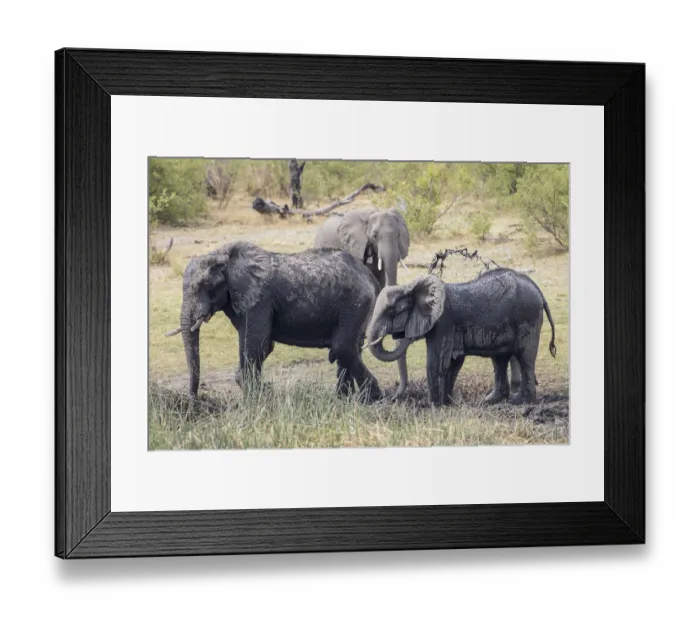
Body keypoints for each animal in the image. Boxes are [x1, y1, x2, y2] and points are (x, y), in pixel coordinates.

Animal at [165, 241, 383, 402]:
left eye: (203, 285)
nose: (195, 400)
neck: (223, 257)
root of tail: (369, 275)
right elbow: (263, 346)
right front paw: (257, 395)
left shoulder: (259, 300)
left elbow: (257, 344)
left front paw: (253, 400)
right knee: (350, 349)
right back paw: (342, 399)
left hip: (355, 303)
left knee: (342, 348)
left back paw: (374, 398)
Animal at [365, 268, 556, 406]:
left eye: (392, 311)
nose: (403, 335)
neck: (412, 288)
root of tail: (539, 291)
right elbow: (454, 362)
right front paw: (447, 404)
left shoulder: (444, 322)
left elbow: (437, 362)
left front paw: (433, 406)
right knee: (500, 359)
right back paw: (491, 401)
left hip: (527, 317)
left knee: (524, 357)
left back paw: (520, 402)